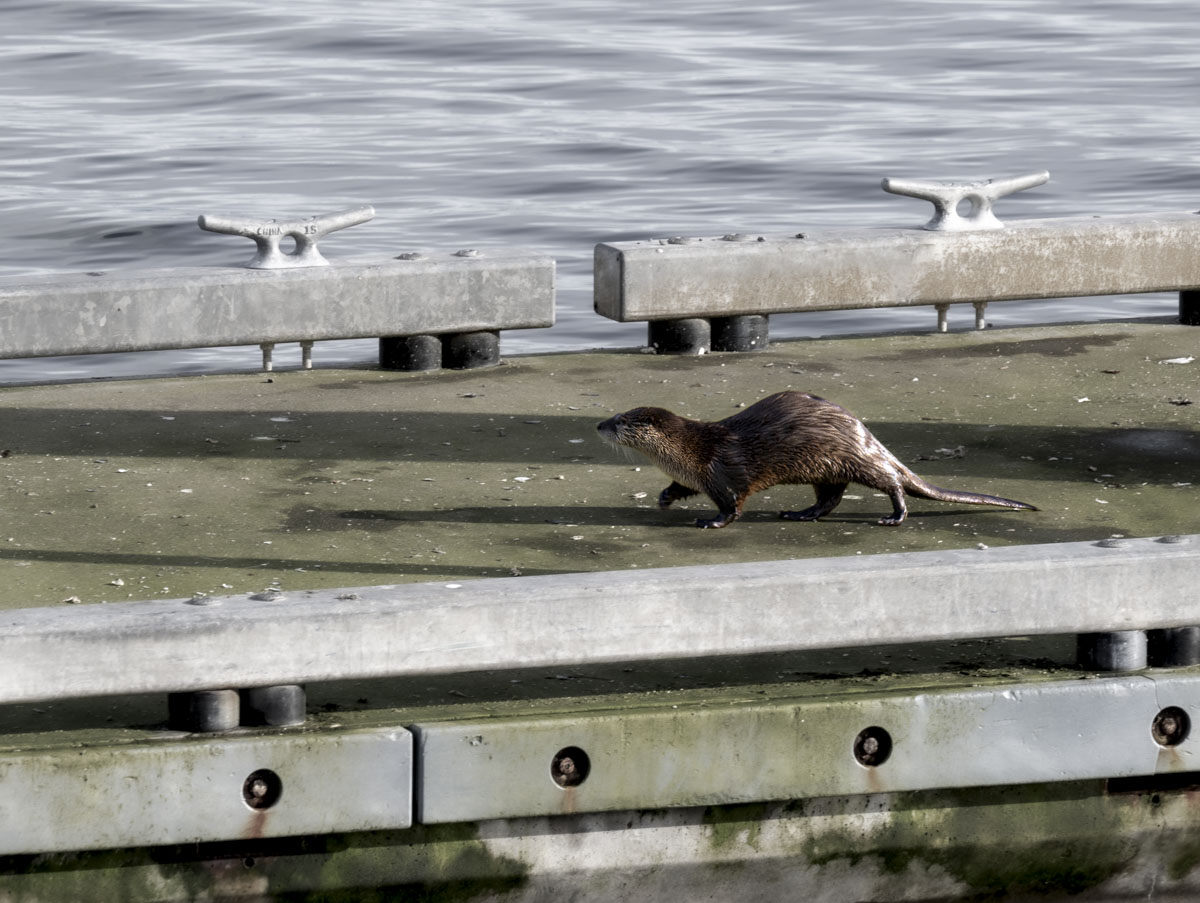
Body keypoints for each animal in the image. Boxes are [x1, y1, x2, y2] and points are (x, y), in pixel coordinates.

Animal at [595, 389, 1036, 528]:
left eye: (620, 421)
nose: (598, 424)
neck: (690, 451)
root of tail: (865, 433)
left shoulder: (722, 472)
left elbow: (732, 504)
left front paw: (712, 522)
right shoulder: (695, 475)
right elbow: (680, 487)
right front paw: (665, 498)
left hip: (852, 458)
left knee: (891, 480)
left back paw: (894, 516)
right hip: (826, 469)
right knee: (831, 497)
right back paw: (799, 513)